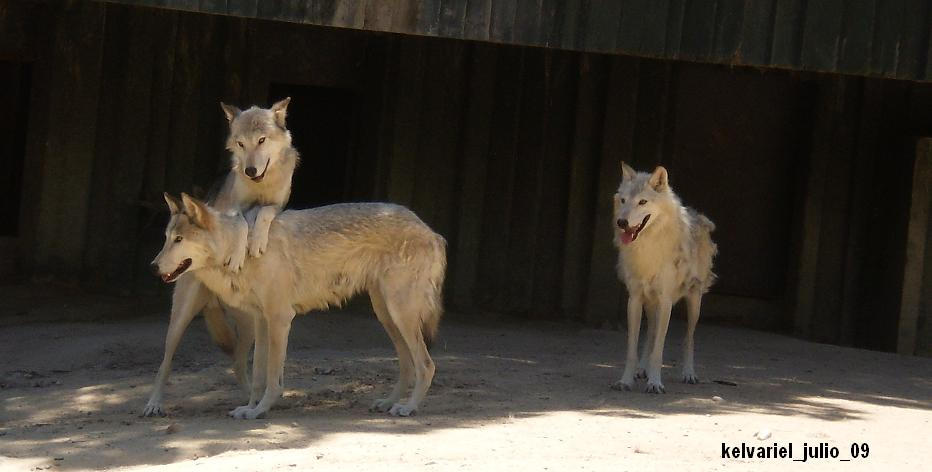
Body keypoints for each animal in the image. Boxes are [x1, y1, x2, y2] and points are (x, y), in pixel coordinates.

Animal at [142, 98, 298, 417]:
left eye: (261, 140)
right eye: (241, 143)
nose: (250, 169)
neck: (259, 185)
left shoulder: (277, 204)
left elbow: (264, 214)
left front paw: (257, 241)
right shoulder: (231, 209)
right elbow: (240, 222)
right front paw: (239, 252)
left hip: (251, 324)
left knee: (238, 361)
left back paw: (250, 397)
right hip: (181, 319)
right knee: (165, 363)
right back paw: (154, 404)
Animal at [153, 193, 447, 418]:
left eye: (179, 240)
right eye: (166, 238)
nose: (153, 266)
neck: (240, 251)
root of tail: (432, 231)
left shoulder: (280, 319)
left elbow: (273, 377)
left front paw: (259, 411)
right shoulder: (262, 321)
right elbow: (258, 375)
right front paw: (248, 408)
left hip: (400, 314)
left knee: (426, 365)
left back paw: (408, 408)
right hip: (387, 316)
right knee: (407, 365)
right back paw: (388, 403)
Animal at [610, 162, 717, 393]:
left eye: (642, 201)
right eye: (623, 200)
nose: (621, 222)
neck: (648, 248)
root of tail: (697, 215)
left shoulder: (666, 301)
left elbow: (659, 351)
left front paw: (655, 383)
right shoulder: (635, 299)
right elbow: (633, 348)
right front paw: (626, 380)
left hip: (693, 303)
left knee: (689, 338)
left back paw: (688, 373)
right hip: (650, 305)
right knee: (650, 334)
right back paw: (642, 370)